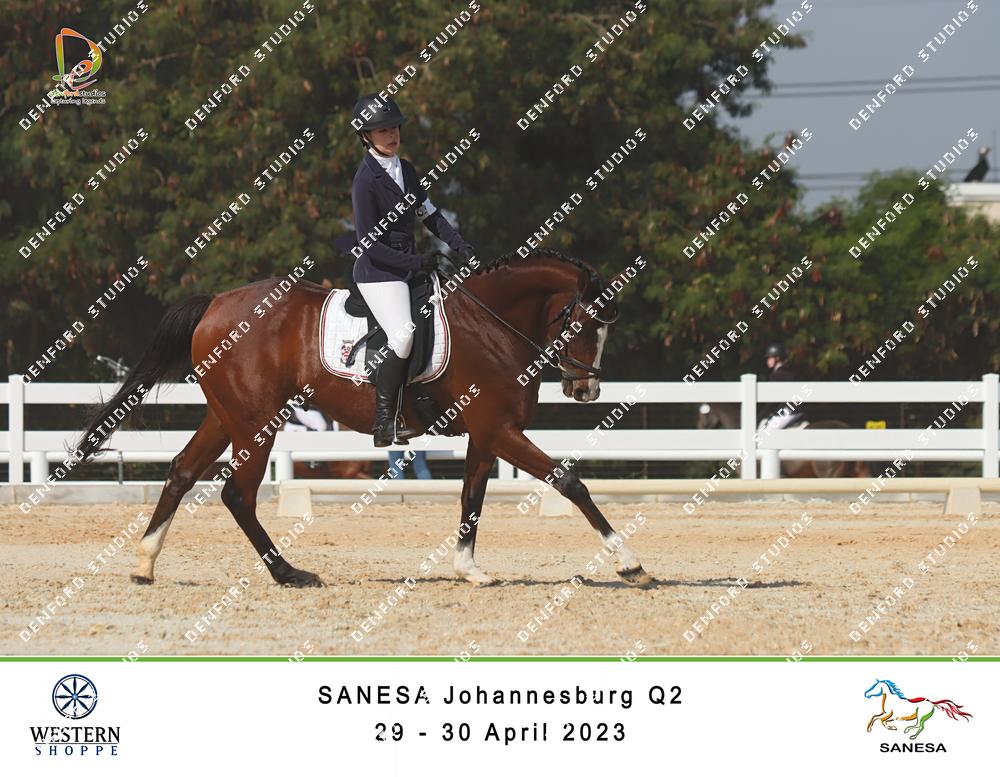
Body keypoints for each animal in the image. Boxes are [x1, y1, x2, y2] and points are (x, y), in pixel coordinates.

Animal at [74, 248, 652, 589]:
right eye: (587, 325)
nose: (585, 389)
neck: (493, 325)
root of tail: (215, 303)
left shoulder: (485, 436)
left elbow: (473, 499)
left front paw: (468, 569)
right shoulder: (500, 431)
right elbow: (569, 483)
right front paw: (632, 564)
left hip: (227, 417)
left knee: (181, 472)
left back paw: (145, 563)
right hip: (256, 423)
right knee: (237, 493)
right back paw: (289, 573)